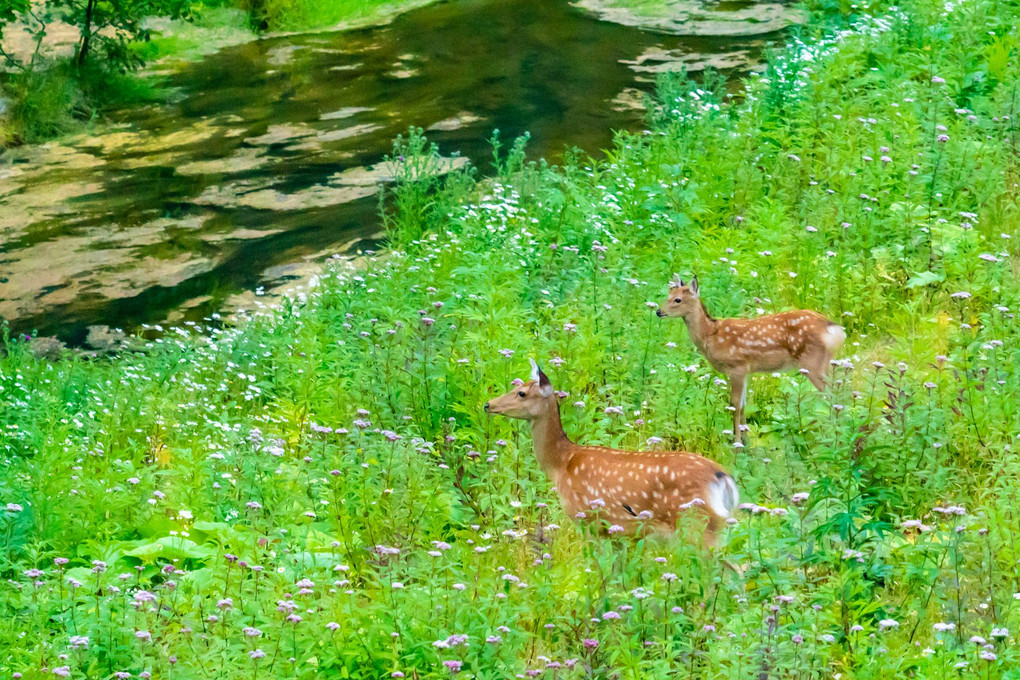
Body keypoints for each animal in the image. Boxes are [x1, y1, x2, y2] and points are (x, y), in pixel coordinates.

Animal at [485, 358, 742, 546]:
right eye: (517, 386)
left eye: (522, 393)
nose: (488, 404)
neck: (561, 464)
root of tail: (723, 478)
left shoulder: (589, 521)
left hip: (697, 525)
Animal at [656, 273, 848, 444]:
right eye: (668, 295)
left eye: (678, 300)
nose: (658, 311)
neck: (710, 335)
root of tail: (832, 328)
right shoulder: (746, 371)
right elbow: (743, 405)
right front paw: (745, 439)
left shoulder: (737, 367)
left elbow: (734, 404)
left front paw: (736, 443)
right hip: (824, 363)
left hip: (813, 362)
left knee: (833, 396)